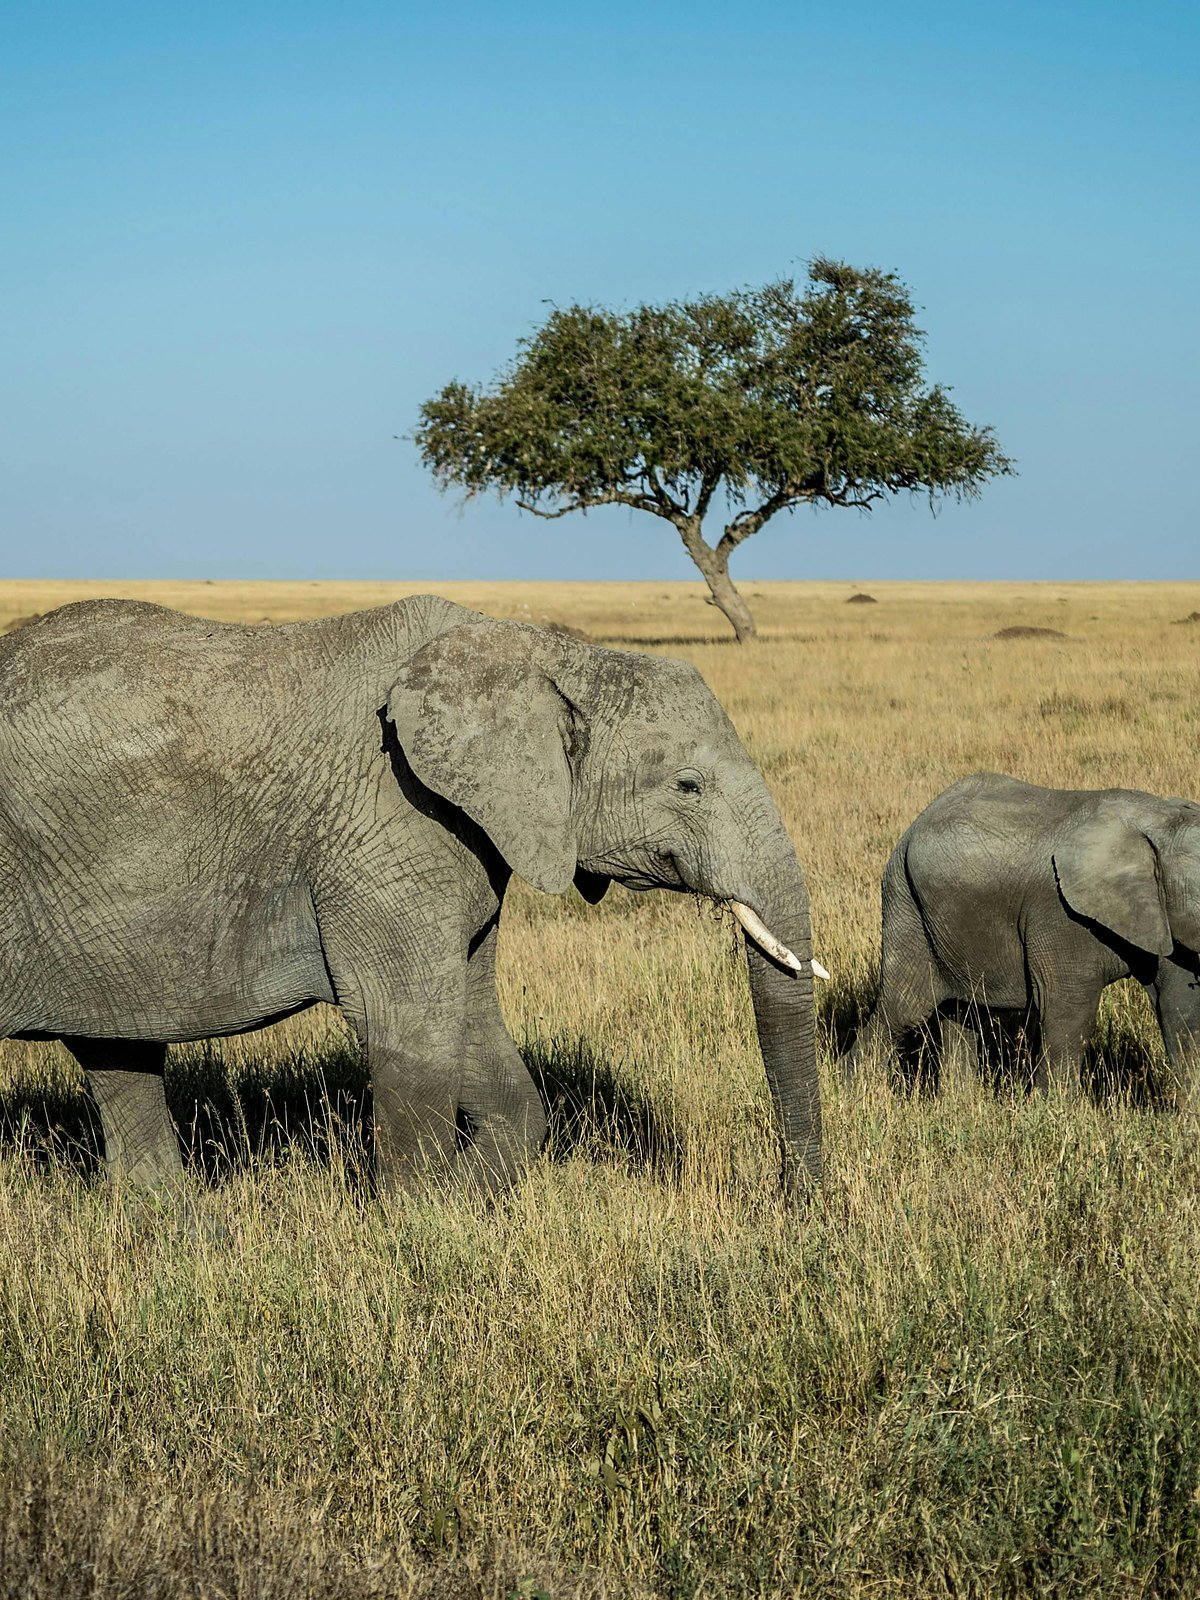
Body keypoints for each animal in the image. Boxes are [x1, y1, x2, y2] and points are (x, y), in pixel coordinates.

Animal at [0, 595, 821, 1200]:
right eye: (688, 785)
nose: (792, 1203)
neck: (539, 653)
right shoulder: (390, 820)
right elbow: (407, 1022)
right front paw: (422, 1231)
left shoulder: (464, 836)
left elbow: (475, 1017)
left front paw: (465, 1199)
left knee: (118, 1058)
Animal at [844, 772, 1200, 1103]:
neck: (1158, 819)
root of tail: (916, 823)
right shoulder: (1059, 913)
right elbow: (1068, 1007)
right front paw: (1055, 1113)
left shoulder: (1163, 910)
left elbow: (1179, 1005)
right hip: (906, 904)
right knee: (905, 1006)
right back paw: (855, 1093)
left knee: (958, 1011)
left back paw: (961, 1104)